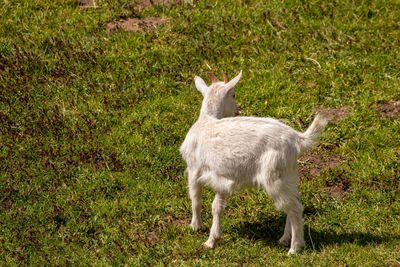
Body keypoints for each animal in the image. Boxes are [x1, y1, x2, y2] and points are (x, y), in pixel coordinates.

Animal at [180, 71, 326, 255]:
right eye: (234, 95)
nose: (236, 111)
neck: (207, 120)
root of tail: (298, 139)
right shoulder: (222, 177)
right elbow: (217, 207)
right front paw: (212, 239)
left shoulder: (193, 168)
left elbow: (195, 198)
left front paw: (195, 227)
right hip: (289, 174)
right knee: (293, 202)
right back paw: (285, 239)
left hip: (274, 175)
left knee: (295, 208)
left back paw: (294, 248)